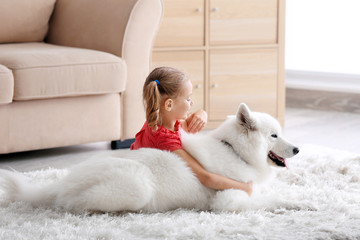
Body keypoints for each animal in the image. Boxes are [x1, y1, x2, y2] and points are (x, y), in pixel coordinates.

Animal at [0, 104, 298, 213]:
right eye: (274, 135)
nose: (297, 150)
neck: (234, 150)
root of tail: (63, 183)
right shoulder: (228, 199)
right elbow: (268, 200)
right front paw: (295, 205)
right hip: (137, 187)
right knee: (74, 205)